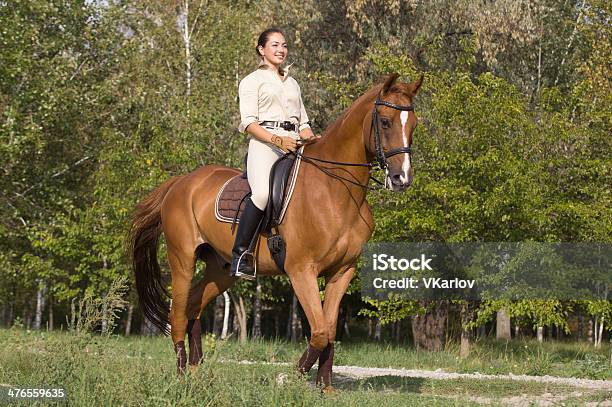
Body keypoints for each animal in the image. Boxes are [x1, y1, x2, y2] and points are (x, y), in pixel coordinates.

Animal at [130, 73, 420, 392]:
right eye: (385, 121)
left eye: (414, 124)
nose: (402, 178)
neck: (335, 191)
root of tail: (182, 182)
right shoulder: (301, 270)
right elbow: (320, 330)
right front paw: (288, 378)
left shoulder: (342, 271)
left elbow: (329, 329)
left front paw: (326, 388)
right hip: (182, 259)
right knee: (179, 312)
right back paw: (182, 376)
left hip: (221, 269)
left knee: (194, 304)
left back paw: (196, 371)